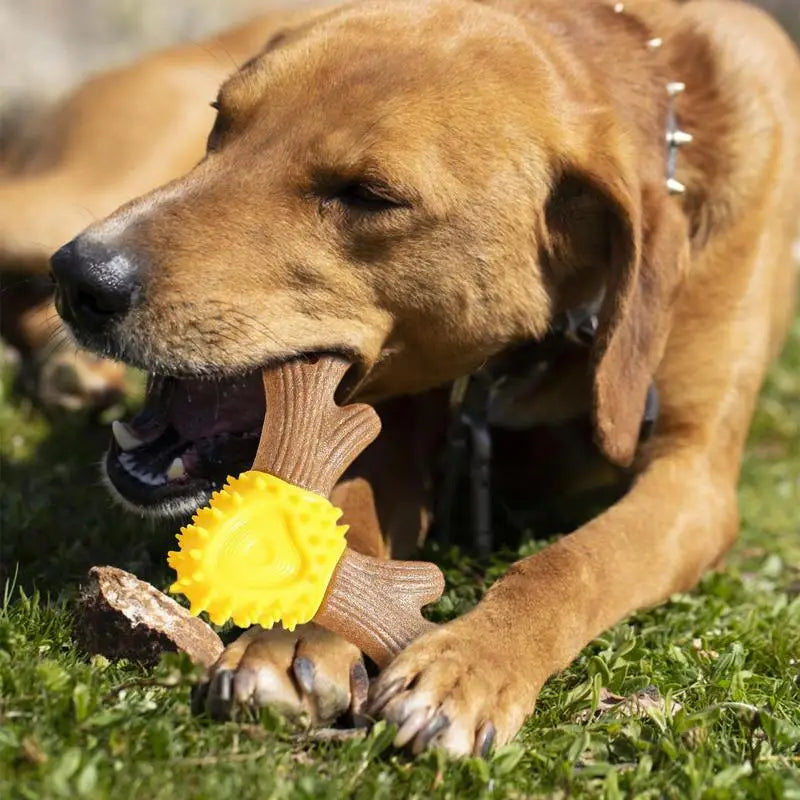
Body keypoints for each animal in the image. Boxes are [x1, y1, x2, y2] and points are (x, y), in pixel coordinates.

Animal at [48, 0, 800, 756]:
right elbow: (347, 517)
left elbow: (576, 561)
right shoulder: (395, 429)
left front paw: (472, 662)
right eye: (221, 120)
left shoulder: (692, 480)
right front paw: (297, 639)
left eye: (369, 195)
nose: (81, 278)